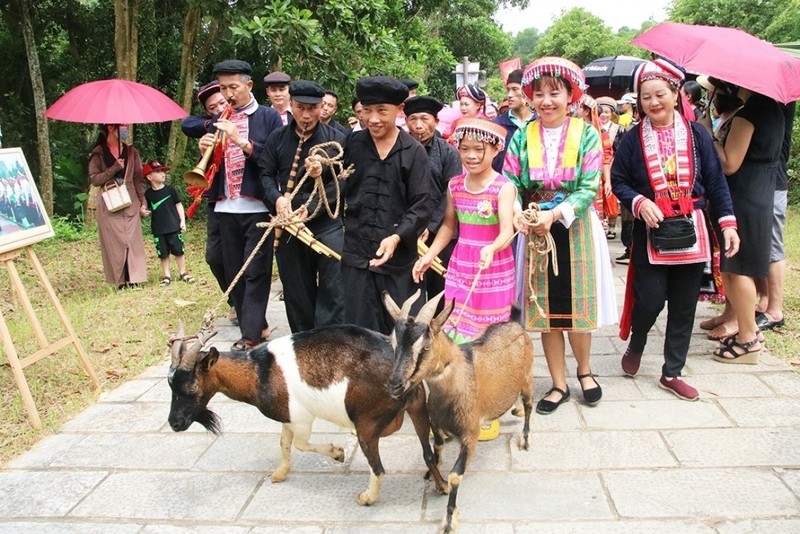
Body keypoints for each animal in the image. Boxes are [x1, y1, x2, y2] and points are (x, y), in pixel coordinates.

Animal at [167, 322, 450, 506]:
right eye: (170, 386)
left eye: (191, 389)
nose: (174, 423)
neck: (258, 371)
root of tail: (404, 372)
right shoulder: (288, 416)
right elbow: (284, 442)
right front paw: (280, 473)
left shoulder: (301, 418)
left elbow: (300, 444)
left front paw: (337, 453)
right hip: (417, 406)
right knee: (428, 451)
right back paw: (442, 486)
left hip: (367, 423)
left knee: (378, 467)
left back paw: (367, 498)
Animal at [384, 292, 536, 532]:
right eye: (393, 343)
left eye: (425, 347)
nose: (395, 385)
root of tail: (514, 323)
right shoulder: (436, 423)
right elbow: (437, 445)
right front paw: (432, 471)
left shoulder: (470, 435)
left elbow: (455, 476)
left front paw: (448, 521)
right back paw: (515, 409)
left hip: (527, 378)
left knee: (530, 405)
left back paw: (525, 438)